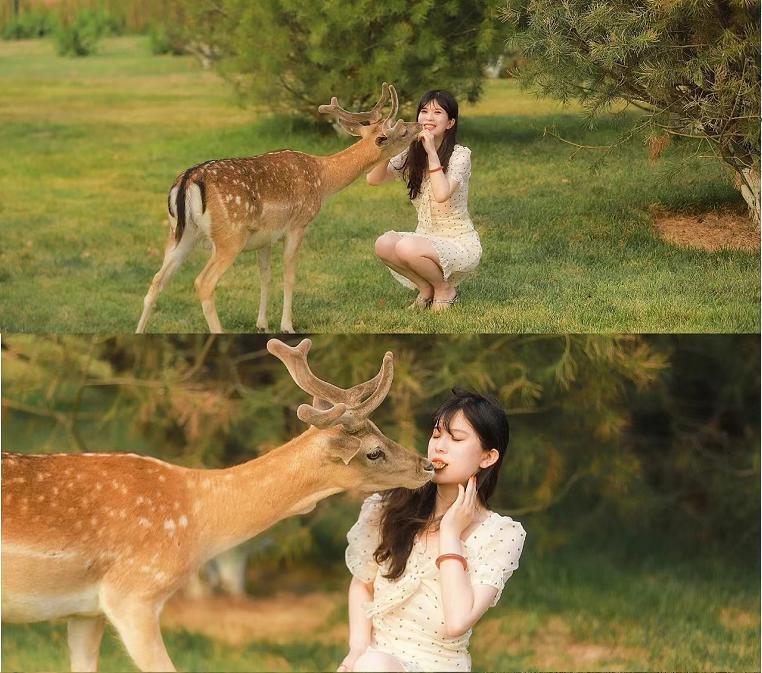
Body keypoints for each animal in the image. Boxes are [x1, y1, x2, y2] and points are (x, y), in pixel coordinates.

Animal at [136, 83, 422, 334]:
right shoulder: (298, 225)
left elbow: (265, 276)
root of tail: (188, 180)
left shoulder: (265, 237)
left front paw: (262, 324)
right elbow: (289, 274)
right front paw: (287, 325)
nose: (419, 124)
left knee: (157, 280)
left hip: (180, 234)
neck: (322, 180)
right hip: (229, 236)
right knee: (203, 283)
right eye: (402, 131)